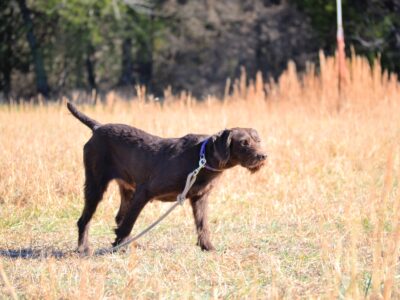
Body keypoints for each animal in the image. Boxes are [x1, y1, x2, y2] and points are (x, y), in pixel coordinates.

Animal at [67, 103, 268, 253]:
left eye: (258, 140)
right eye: (244, 143)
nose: (263, 156)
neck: (202, 157)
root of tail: (98, 127)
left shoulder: (200, 198)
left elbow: (203, 225)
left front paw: (208, 247)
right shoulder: (144, 192)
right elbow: (129, 223)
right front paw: (118, 247)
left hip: (126, 190)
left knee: (118, 218)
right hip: (95, 186)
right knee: (85, 220)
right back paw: (84, 248)